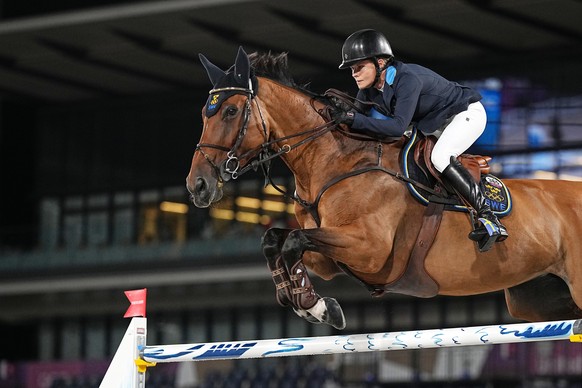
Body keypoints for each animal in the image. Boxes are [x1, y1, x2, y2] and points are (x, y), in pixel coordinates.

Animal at [187, 47, 582, 328]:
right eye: (205, 113)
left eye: (231, 111)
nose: (197, 186)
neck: (334, 162)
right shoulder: (331, 259)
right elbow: (276, 241)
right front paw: (308, 303)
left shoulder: (370, 249)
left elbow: (294, 241)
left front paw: (316, 307)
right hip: (538, 298)